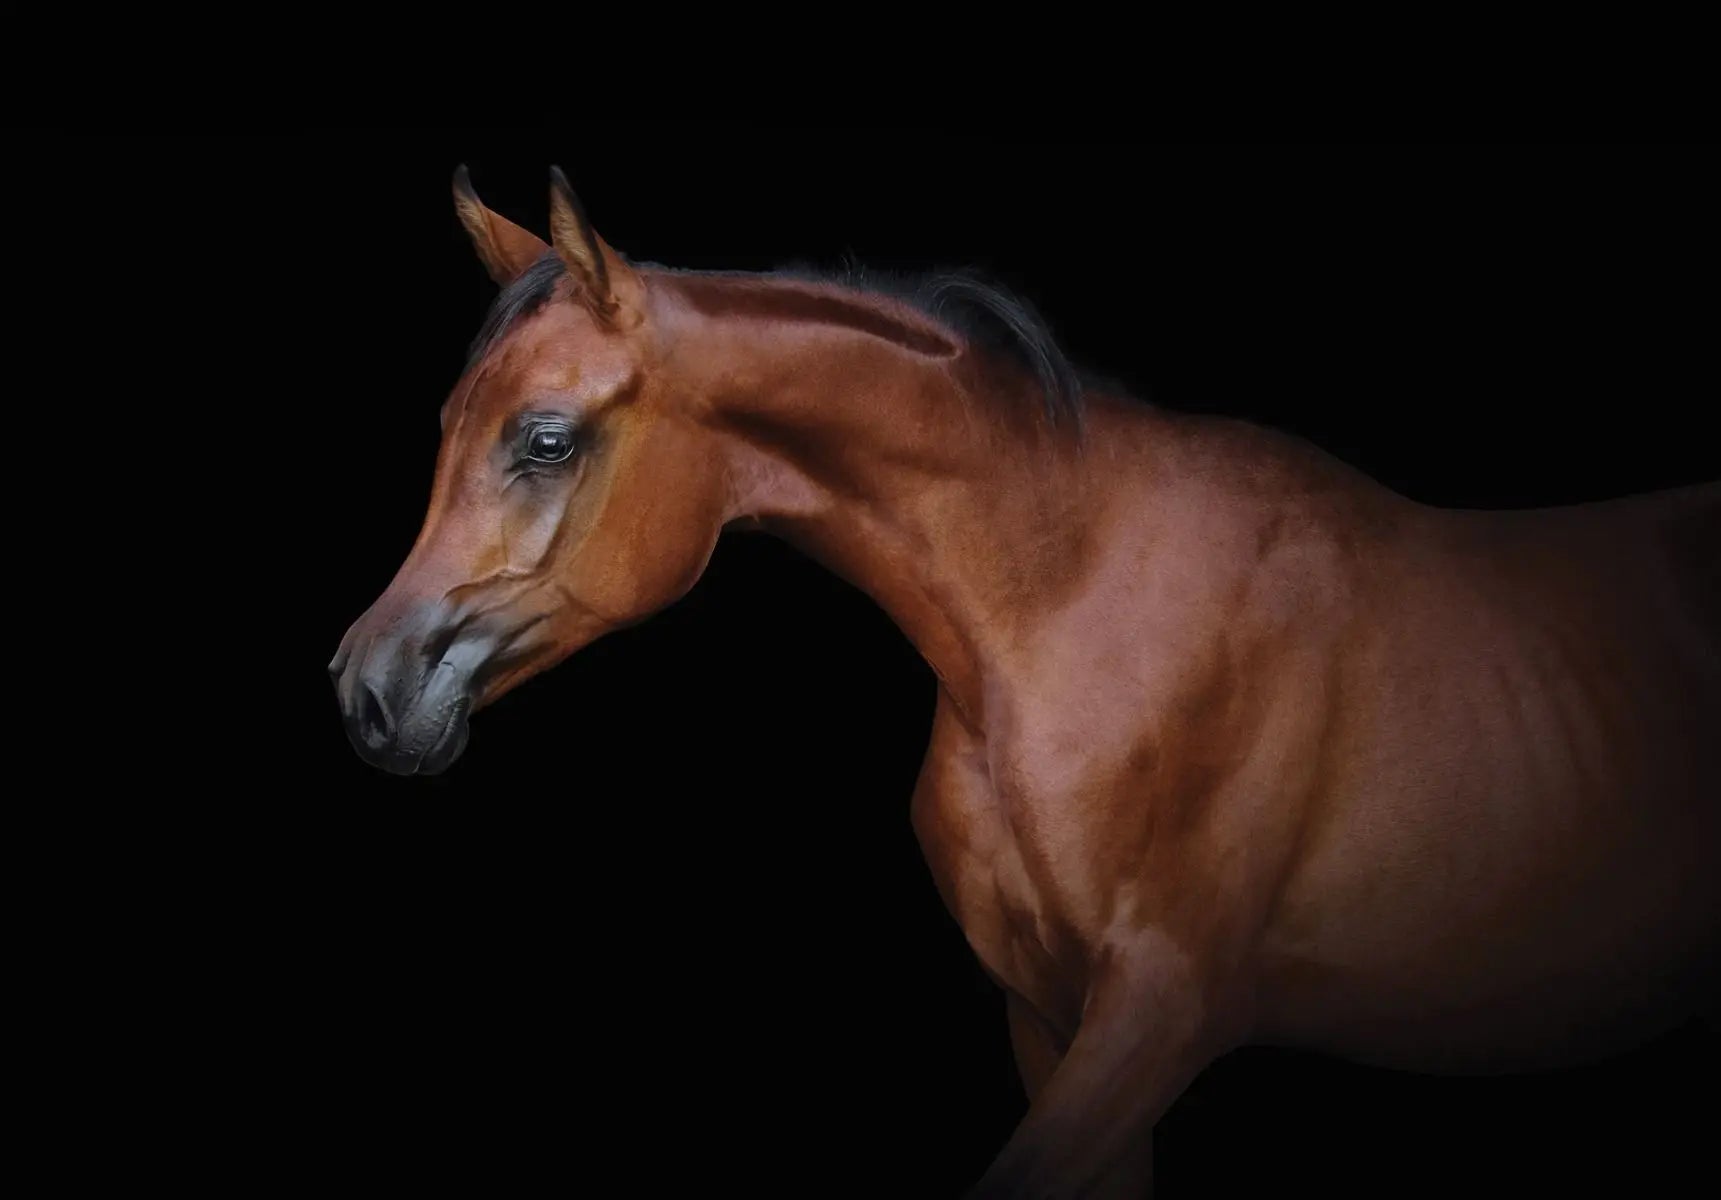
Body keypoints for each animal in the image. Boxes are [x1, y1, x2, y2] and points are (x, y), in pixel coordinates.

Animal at [328, 166, 1714, 1191]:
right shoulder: (1044, 1019)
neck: (1064, 608)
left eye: (545, 439)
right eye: (448, 424)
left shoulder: (1159, 1014)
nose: (365, 690)